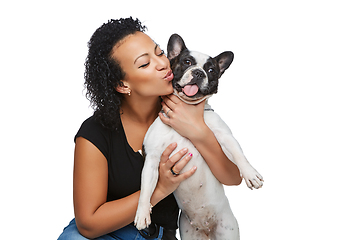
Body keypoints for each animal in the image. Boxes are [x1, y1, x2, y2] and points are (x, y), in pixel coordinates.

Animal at [134, 34, 262, 240]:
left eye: (211, 70)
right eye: (187, 62)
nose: (199, 73)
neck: (187, 108)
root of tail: (206, 228)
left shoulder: (224, 136)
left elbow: (238, 154)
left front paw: (250, 174)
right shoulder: (152, 159)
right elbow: (145, 189)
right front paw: (142, 213)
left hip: (228, 229)